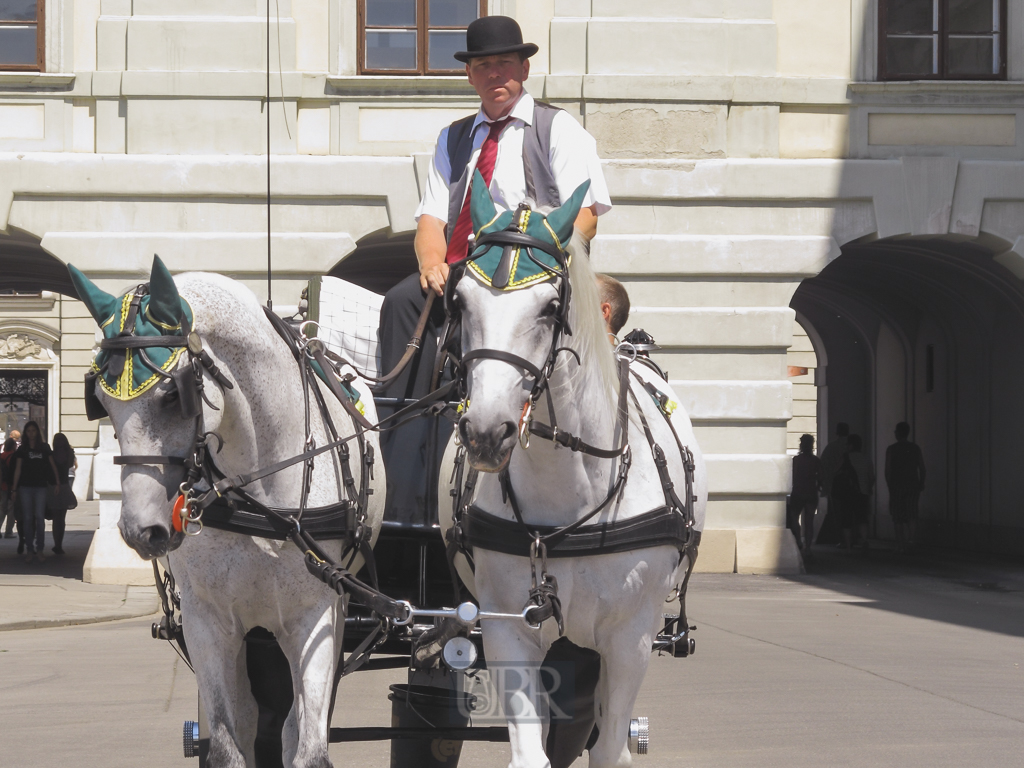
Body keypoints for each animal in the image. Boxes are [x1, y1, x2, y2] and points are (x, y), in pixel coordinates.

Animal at [71, 260, 385, 768]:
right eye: (100, 401)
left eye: (172, 396)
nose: (141, 530)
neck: (259, 496)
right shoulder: (209, 622)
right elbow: (227, 742)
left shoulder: (317, 617)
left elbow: (307, 744)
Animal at [436, 179, 708, 768]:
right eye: (459, 300)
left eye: (551, 306)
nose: (486, 431)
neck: (568, 489)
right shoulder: (507, 627)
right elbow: (531, 751)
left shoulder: (629, 641)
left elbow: (608, 749)